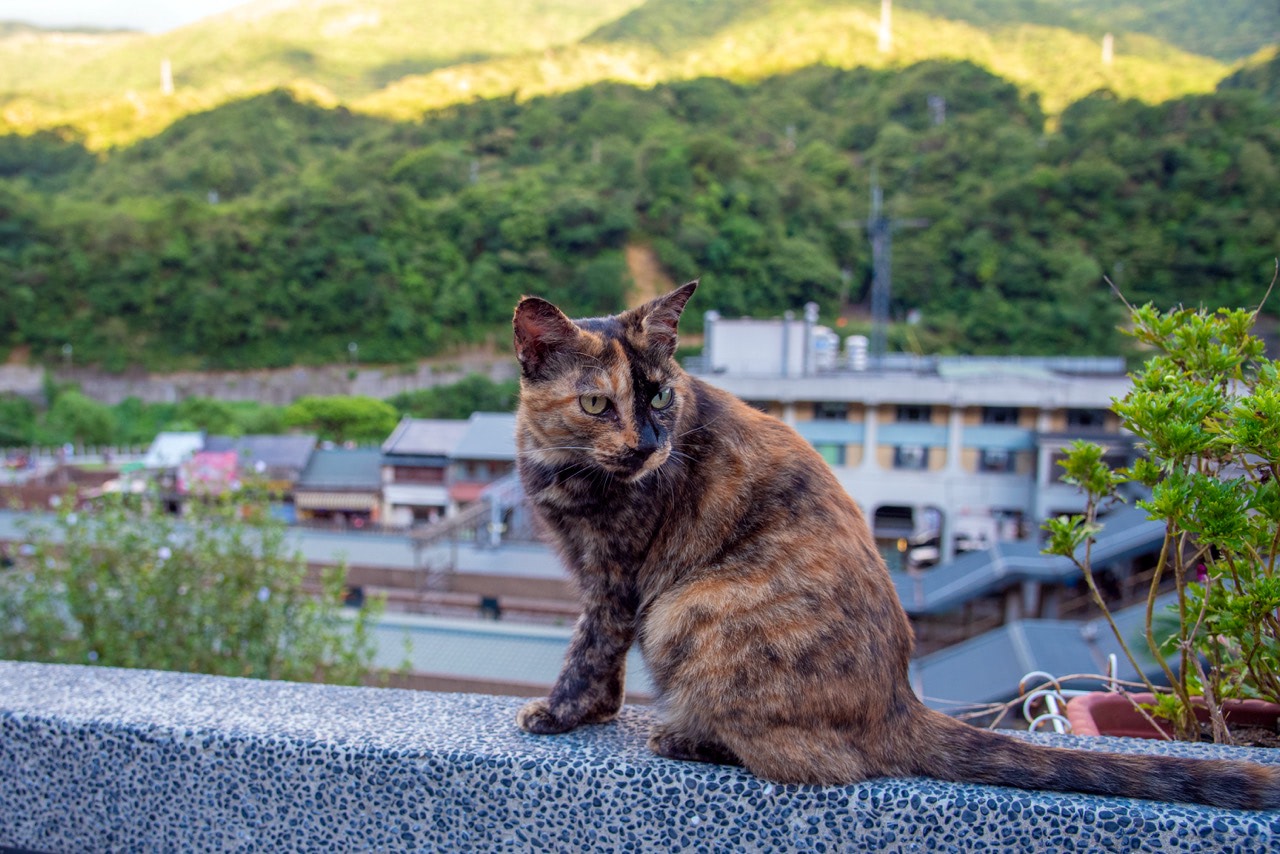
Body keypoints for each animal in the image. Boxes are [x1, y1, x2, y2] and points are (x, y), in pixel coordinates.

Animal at [509, 284, 1280, 814]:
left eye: (663, 396)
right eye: (598, 404)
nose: (649, 445)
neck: (564, 466)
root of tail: (899, 703)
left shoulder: (616, 580)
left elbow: (587, 650)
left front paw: (560, 714)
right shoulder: (602, 578)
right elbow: (601, 660)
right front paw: (596, 712)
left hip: (685, 611)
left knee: (823, 761)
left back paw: (685, 738)